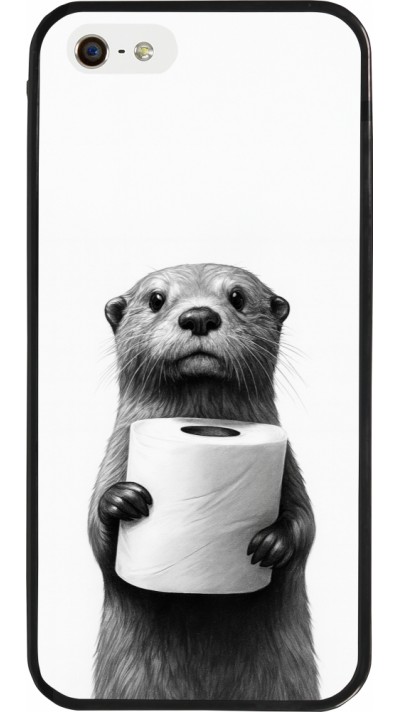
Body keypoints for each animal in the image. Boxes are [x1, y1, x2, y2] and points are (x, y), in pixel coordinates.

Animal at [88, 263, 318, 701]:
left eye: (237, 297)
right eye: (156, 299)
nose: (199, 316)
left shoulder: (290, 469)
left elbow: (307, 524)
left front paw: (273, 542)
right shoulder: (114, 458)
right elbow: (96, 537)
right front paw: (121, 501)